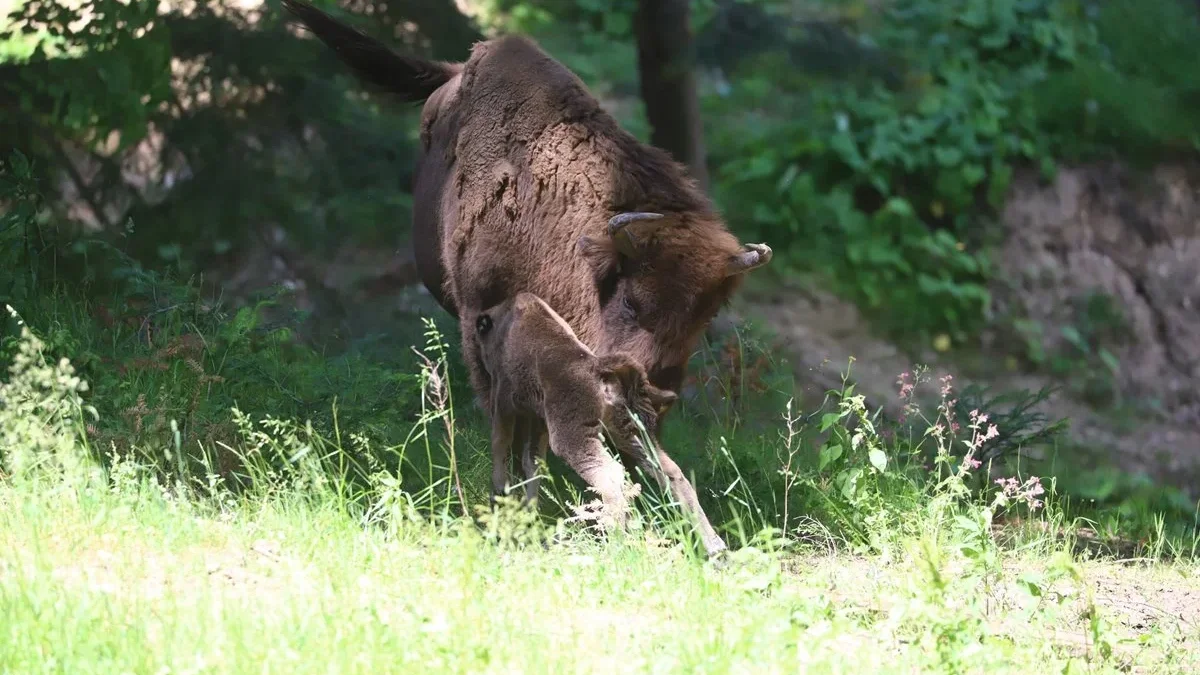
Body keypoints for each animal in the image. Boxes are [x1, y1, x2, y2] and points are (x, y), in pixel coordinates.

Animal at [472, 291, 724, 554]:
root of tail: (598, 367)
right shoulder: (538, 421)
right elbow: (533, 464)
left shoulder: (503, 400)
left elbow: (500, 444)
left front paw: (499, 494)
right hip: (631, 432)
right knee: (670, 471)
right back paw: (714, 545)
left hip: (572, 440)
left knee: (611, 476)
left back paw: (615, 542)